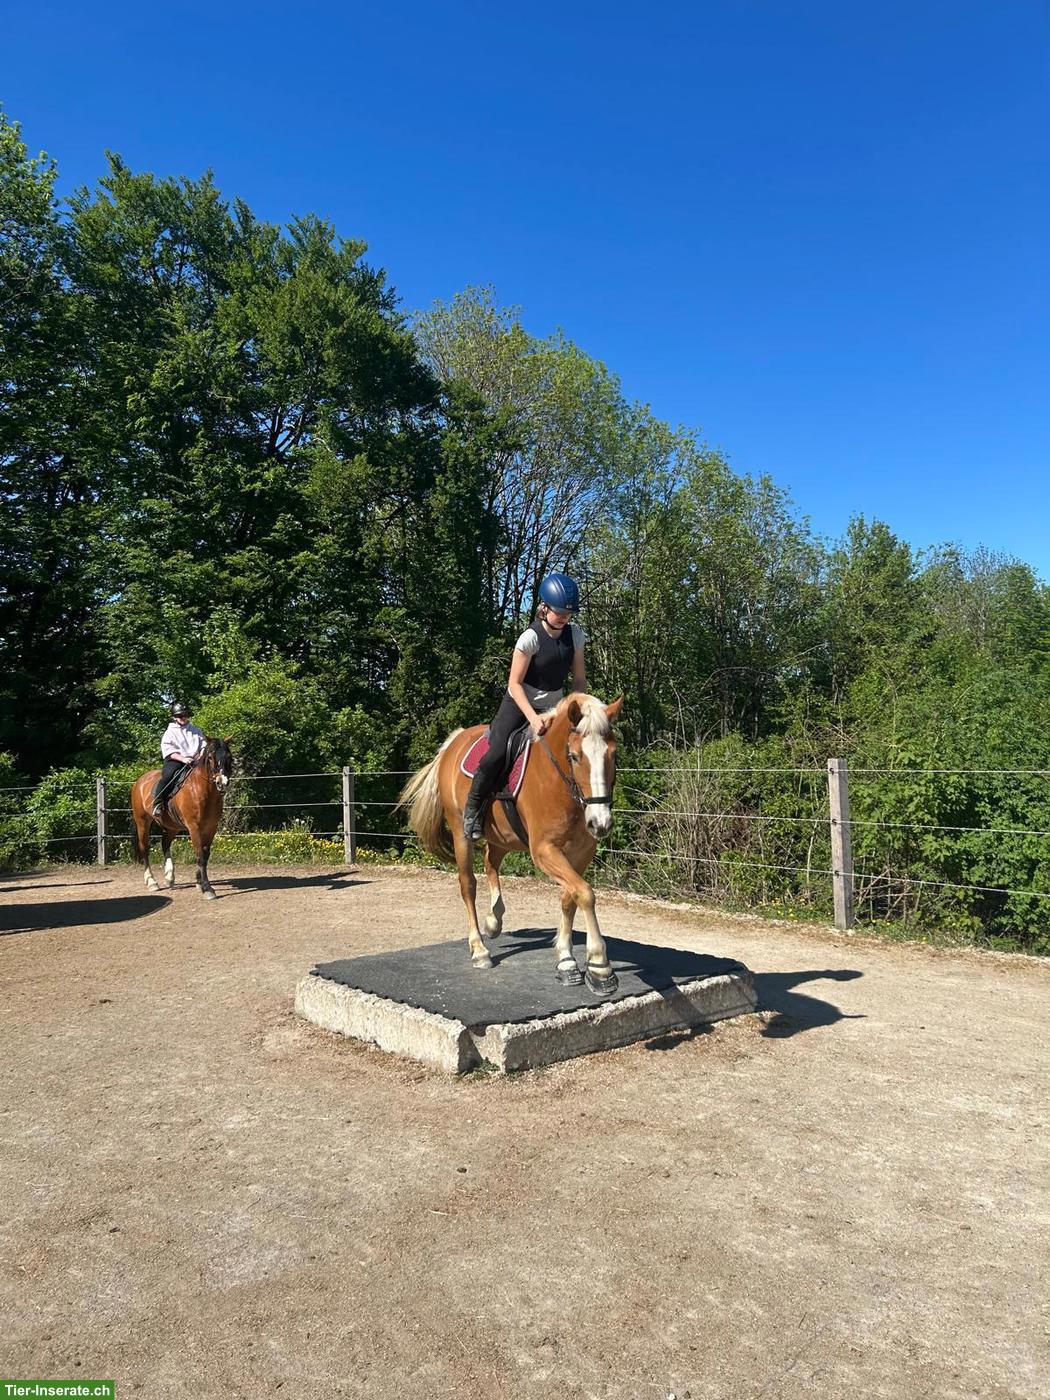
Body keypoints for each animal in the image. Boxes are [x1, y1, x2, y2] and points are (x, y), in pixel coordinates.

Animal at [130, 738, 233, 900]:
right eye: (210, 757)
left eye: (228, 756)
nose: (222, 782)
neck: (201, 790)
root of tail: (139, 782)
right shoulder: (193, 827)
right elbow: (200, 854)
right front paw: (207, 888)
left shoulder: (211, 827)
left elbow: (205, 854)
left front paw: (200, 883)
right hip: (142, 822)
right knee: (144, 848)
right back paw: (152, 882)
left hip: (172, 826)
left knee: (165, 843)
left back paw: (169, 878)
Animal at [400, 693, 623, 995]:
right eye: (575, 756)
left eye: (613, 755)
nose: (600, 823)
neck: (560, 782)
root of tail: (454, 742)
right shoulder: (543, 850)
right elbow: (585, 893)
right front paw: (600, 966)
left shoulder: (581, 852)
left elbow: (571, 897)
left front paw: (566, 960)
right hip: (460, 833)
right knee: (468, 884)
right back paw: (479, 949)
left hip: (503, 837)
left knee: (490, 863)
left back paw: (494, 921)